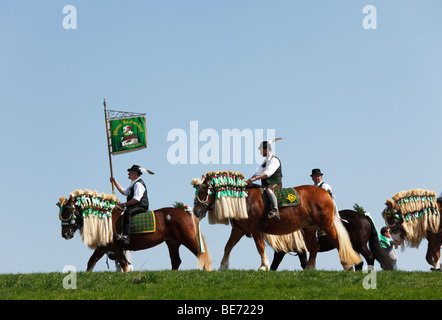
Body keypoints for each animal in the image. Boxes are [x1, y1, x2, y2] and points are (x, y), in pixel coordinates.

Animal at [58, 194, 212, 272]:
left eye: (67, 212)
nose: (64, 234)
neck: (105, 220)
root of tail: (185, 211)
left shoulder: (118, 248)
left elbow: (124, 265)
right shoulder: (103, 248)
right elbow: (91, 262)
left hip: (187, 238)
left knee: (200, 254)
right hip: (172, 242)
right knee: (176, 260)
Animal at [193, 174, 362, 272]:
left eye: (203, 191)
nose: (196, 212)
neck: (244, 199)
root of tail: (325, 193)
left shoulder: (255, 229)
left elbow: (260, 247)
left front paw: (263, 266)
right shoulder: (239, 229)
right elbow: (228, 246)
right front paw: (223, 266)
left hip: (326, 224)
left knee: (337, 241)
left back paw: (347, 265)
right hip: (309, 228)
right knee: (314, 247)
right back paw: (309, 268)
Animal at [268, 210, 396, 270]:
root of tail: (363, 216)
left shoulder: (297, 250)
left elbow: (303, 264)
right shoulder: (285, 251)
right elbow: (275, 265)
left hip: (361, 245)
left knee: (369, 257)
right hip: (354, 246)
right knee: (359, 262)